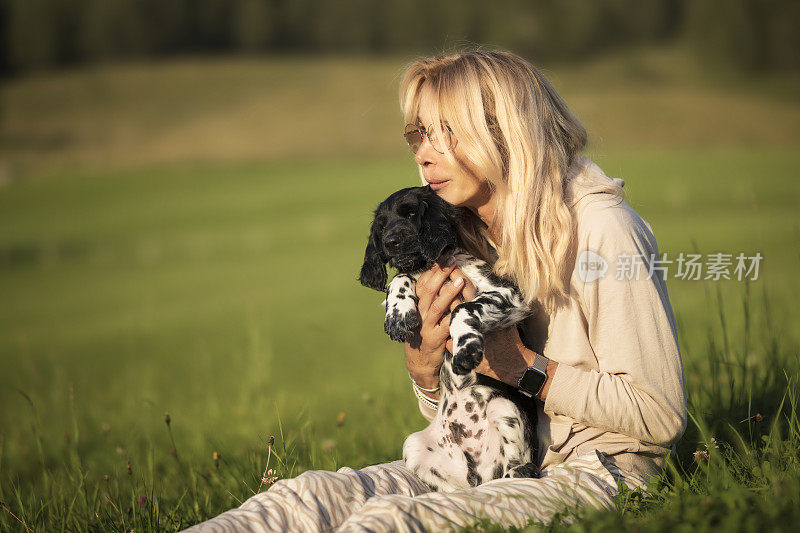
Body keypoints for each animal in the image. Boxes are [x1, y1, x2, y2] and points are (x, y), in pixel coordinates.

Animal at [360, 187, 536, 490]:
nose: (391, 242)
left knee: (518, 464)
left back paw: (518, 473)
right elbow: (400, 277)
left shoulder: (508, 296)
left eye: (410, 213)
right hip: (414, 445)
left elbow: (462, 309)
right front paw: (398, 313)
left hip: (504, 407)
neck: (428, 266)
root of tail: (479, 475)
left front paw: (467, 349)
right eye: (381, 226)